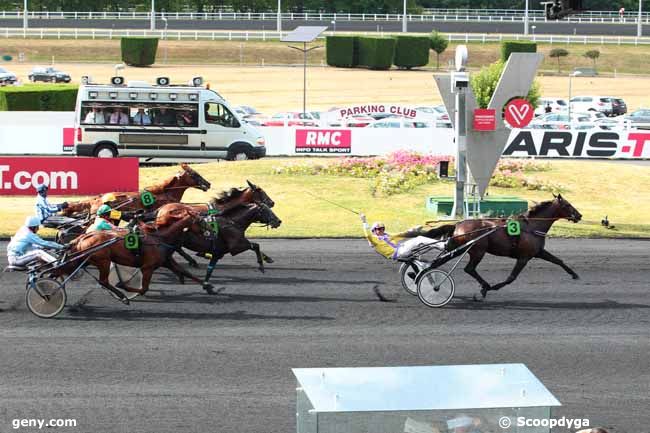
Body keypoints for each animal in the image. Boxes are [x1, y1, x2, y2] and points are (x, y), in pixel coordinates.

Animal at [438, 194, 580, 298]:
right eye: (567, 204)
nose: (579, 215)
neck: (532, 226)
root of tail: (458, 225)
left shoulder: (538, 252)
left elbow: (558, 260)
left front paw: (574, 274)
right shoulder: (524, 257)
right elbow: (511, 278)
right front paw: (492, 288)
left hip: (458, 249)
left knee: (441, 262)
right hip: (478, 251)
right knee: (469, 269)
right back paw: (485, 286)